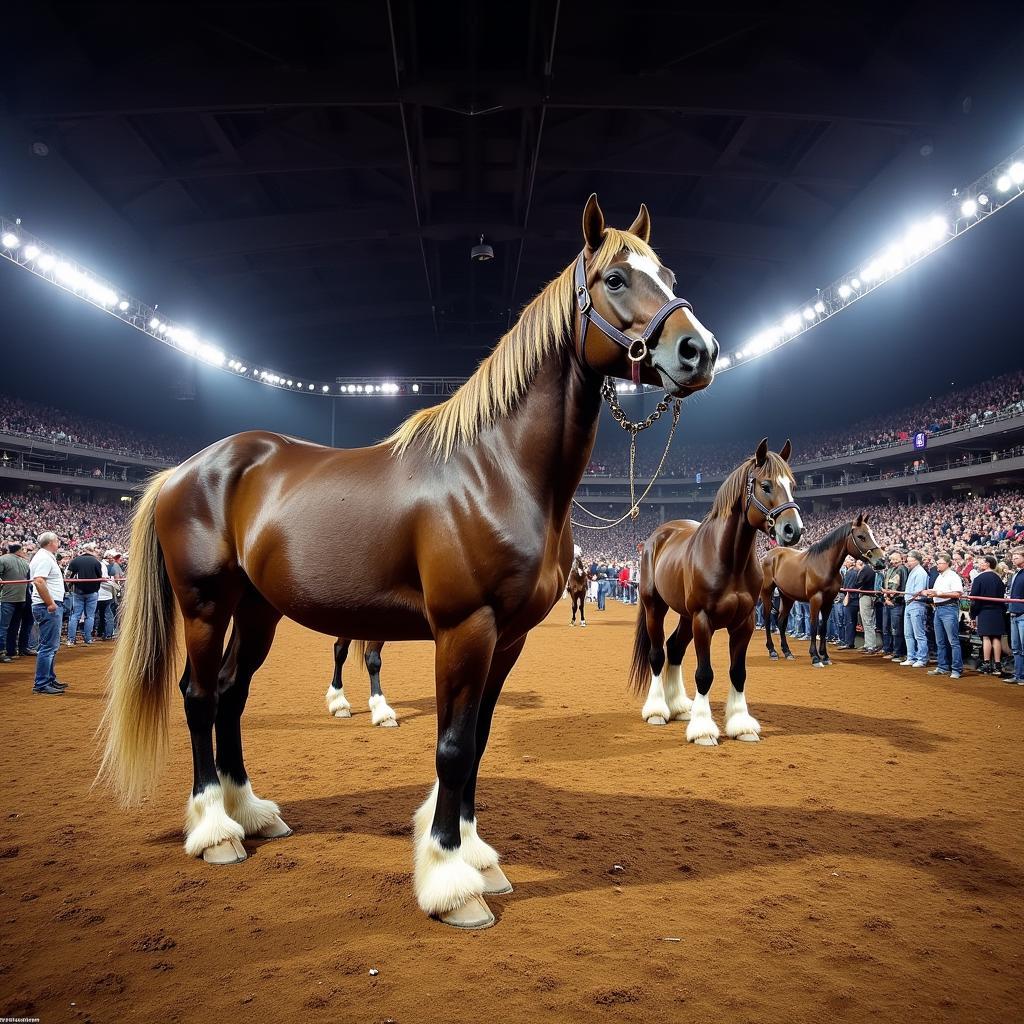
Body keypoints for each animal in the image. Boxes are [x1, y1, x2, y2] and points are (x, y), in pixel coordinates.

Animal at [97, 195, 720, 933]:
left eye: (668, 273)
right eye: (616, 279)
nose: (700, 350)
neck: (495, 469)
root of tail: (185, 471)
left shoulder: (508, 639)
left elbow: (477, 740)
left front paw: (477, 857)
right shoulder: (464, 628)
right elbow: (451, 746)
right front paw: (451, 882)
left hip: (257, 613)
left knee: (229, 696)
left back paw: (251, 812)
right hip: (205, 605)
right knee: (197, 698)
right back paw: (215, 831)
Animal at [626, 438, 802, 745]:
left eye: (792, 484)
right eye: (765, 485)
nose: (794, 530)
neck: (729, 560)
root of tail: (657, 536)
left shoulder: (744, 623)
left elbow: (738, 672)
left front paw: (742, 725)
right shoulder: (703, 619)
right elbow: (704, 674)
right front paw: (703, 730)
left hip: (685, 616)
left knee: (674, 648)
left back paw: (680, 707)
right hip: (655, 608)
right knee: (658, 654)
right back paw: (658, 710)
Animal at [761, 516, 888, 667]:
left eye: (872, 534)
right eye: (861, 536)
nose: (882, 561)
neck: (824, 564)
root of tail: (770, 555)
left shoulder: (829, 601)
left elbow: (823, 627)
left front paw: (825, 656)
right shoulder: (815, 599)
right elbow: (814, 625)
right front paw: (815, 657)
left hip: (787, 596)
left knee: (781, 621)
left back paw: (787, 652)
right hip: (767, 592)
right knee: (768, 618)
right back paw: (772, 651)